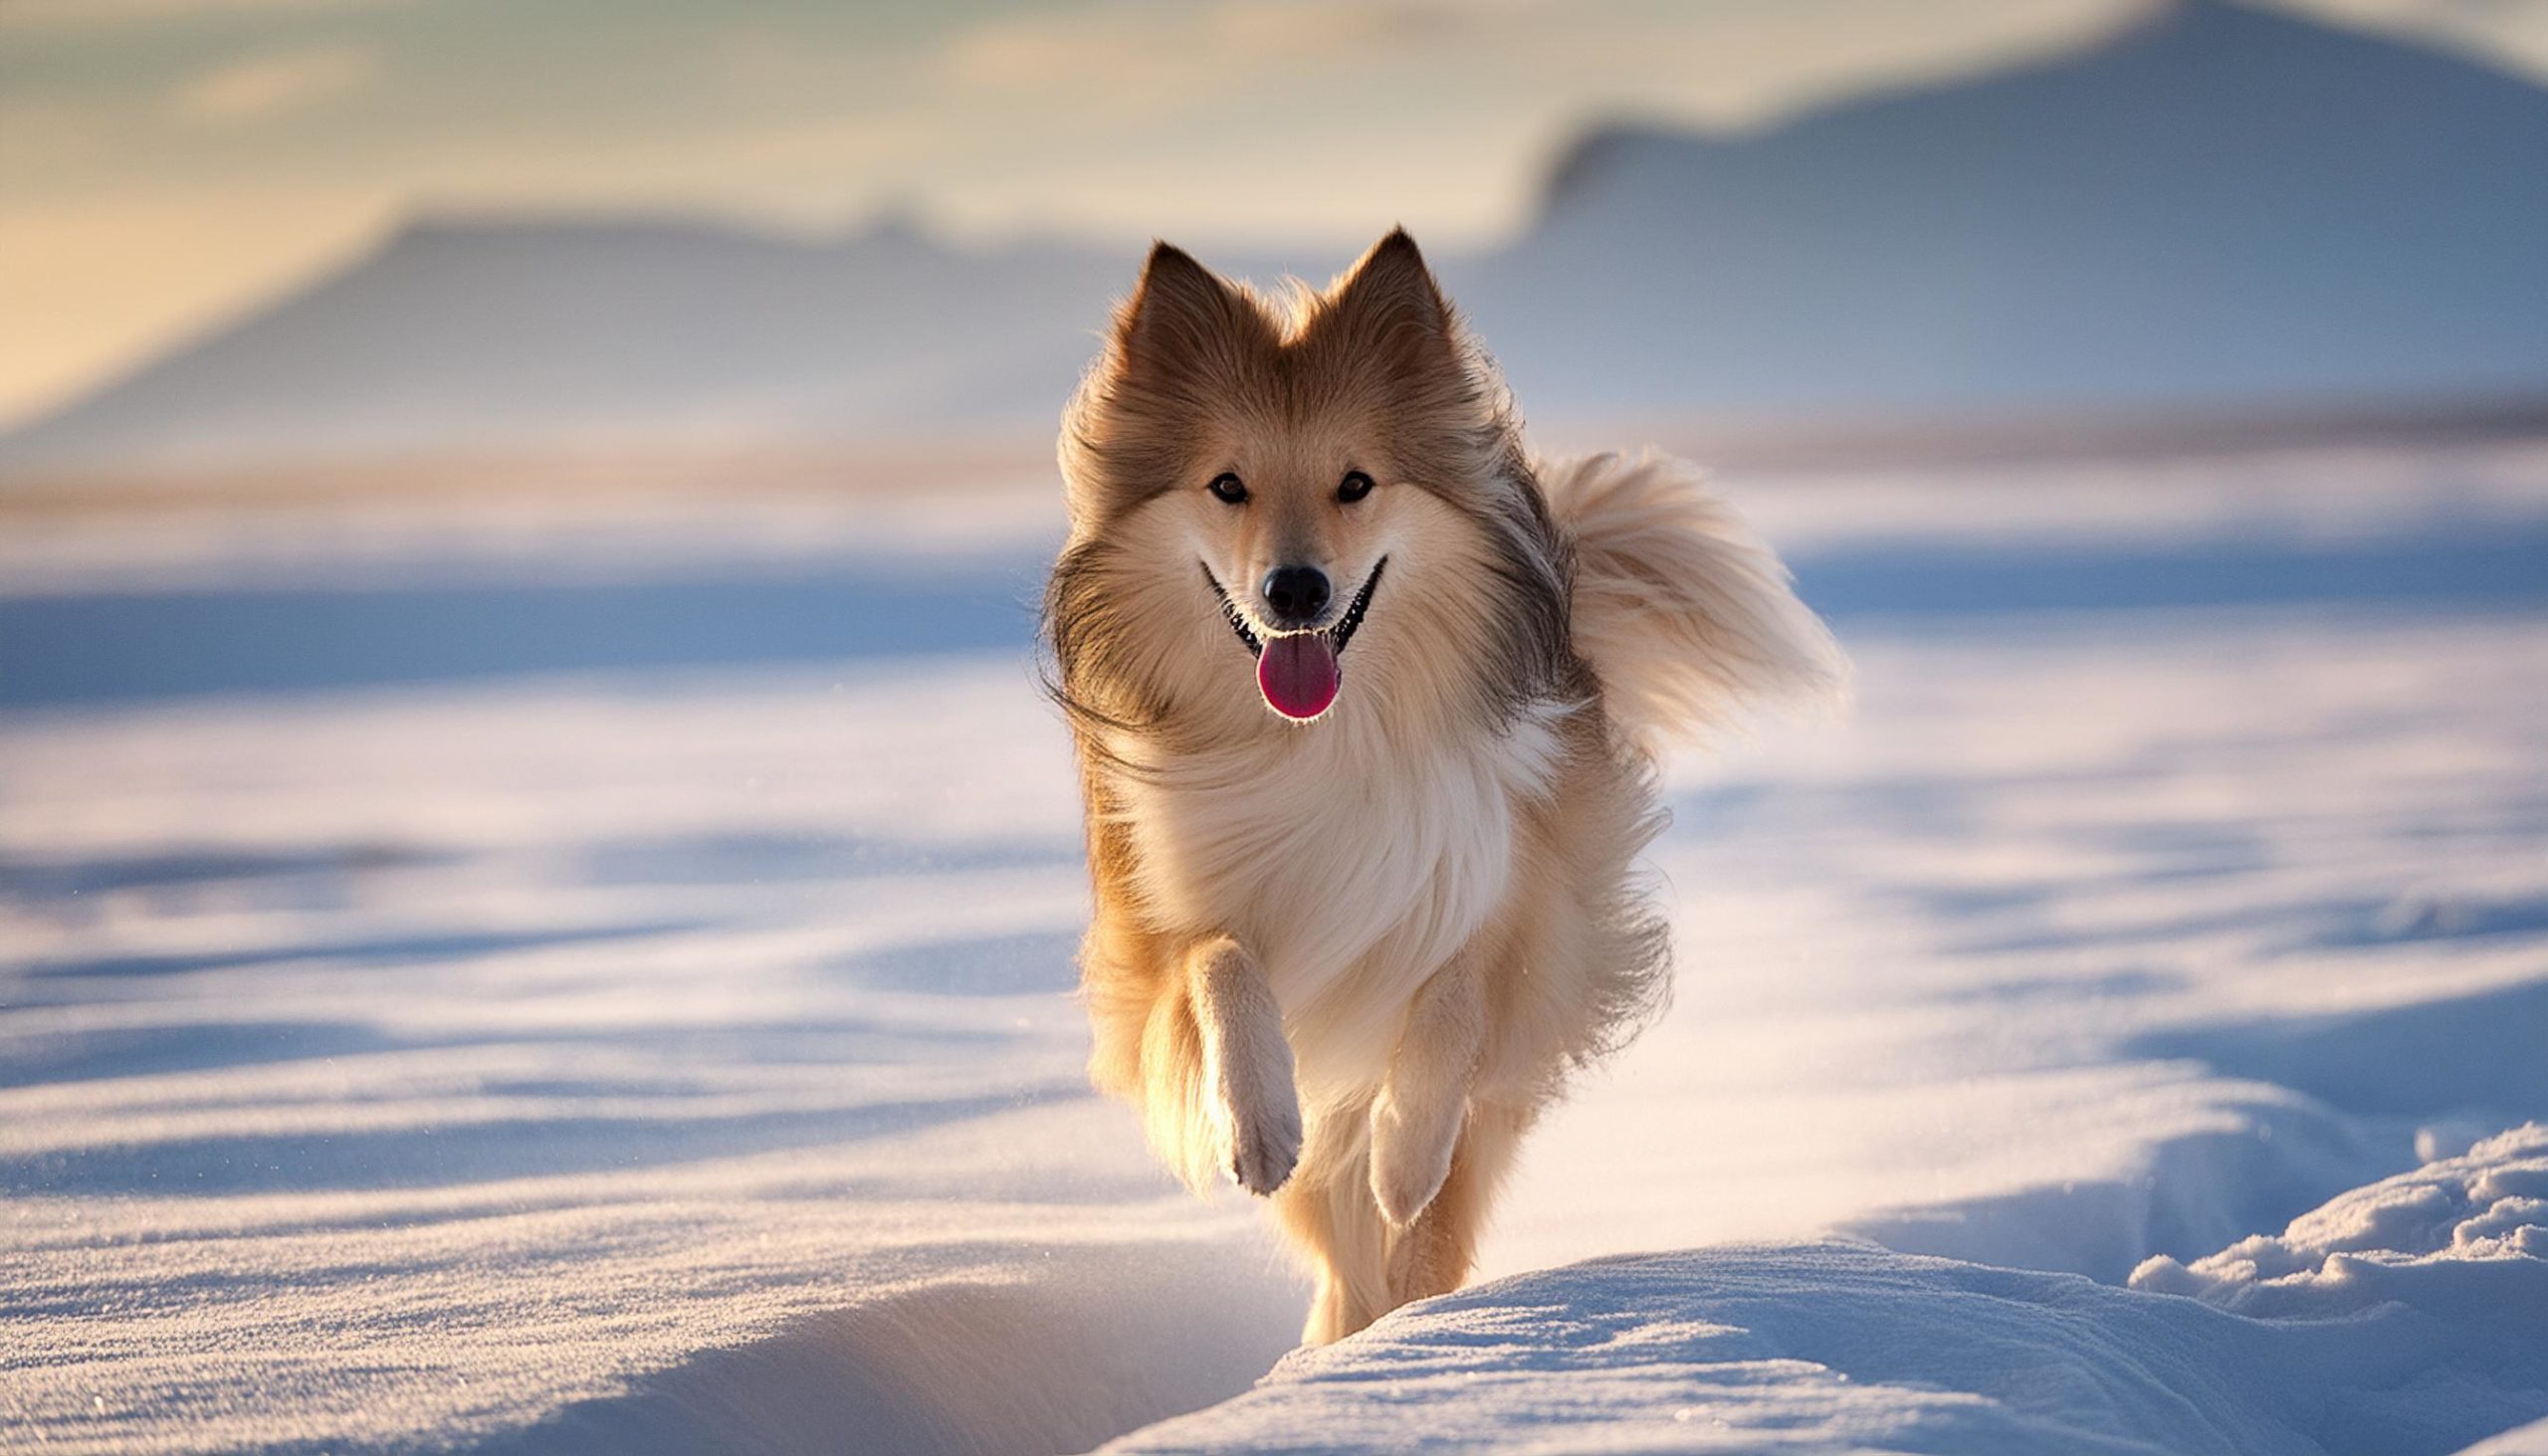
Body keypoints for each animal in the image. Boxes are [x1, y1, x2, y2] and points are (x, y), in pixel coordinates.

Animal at [1044, 225, 1844, 1346]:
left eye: (1356, 483)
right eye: (1227, 486)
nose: (1296, 589)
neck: (1324, 740)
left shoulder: (1525, 901)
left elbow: (1455, 999)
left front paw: (1404, 1150)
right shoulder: (1155, 930)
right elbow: (1220, 964)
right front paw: (1260, 1127)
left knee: (1424, 1234)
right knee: (1344, 1253)